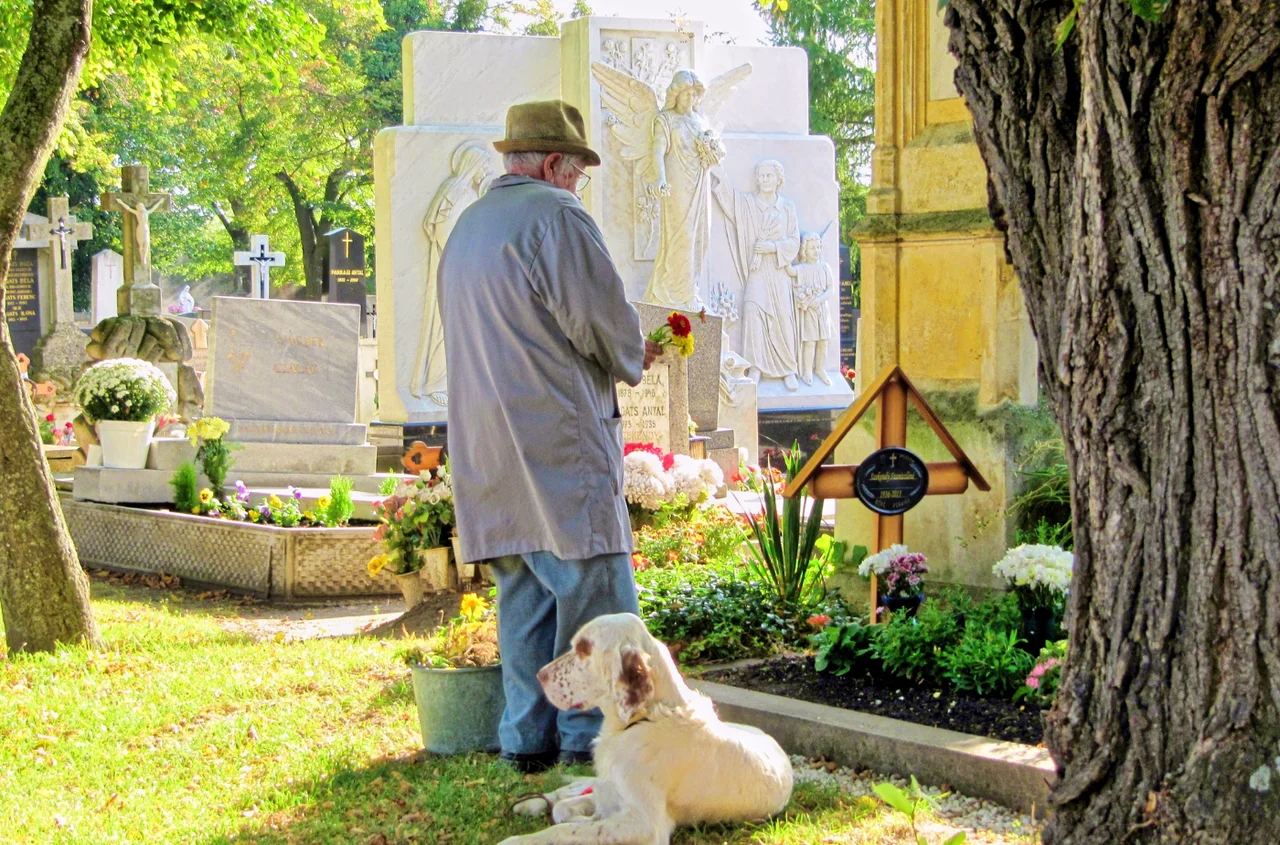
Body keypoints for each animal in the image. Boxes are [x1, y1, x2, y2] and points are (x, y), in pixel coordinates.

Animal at [496, 614, 788, 845]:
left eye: (583, 648)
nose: (540, 675)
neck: (644, 719)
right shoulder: (612, 791)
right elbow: (568, 811)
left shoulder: (647, 826)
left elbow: (568, 829)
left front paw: (518, 841)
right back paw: (532, 802)